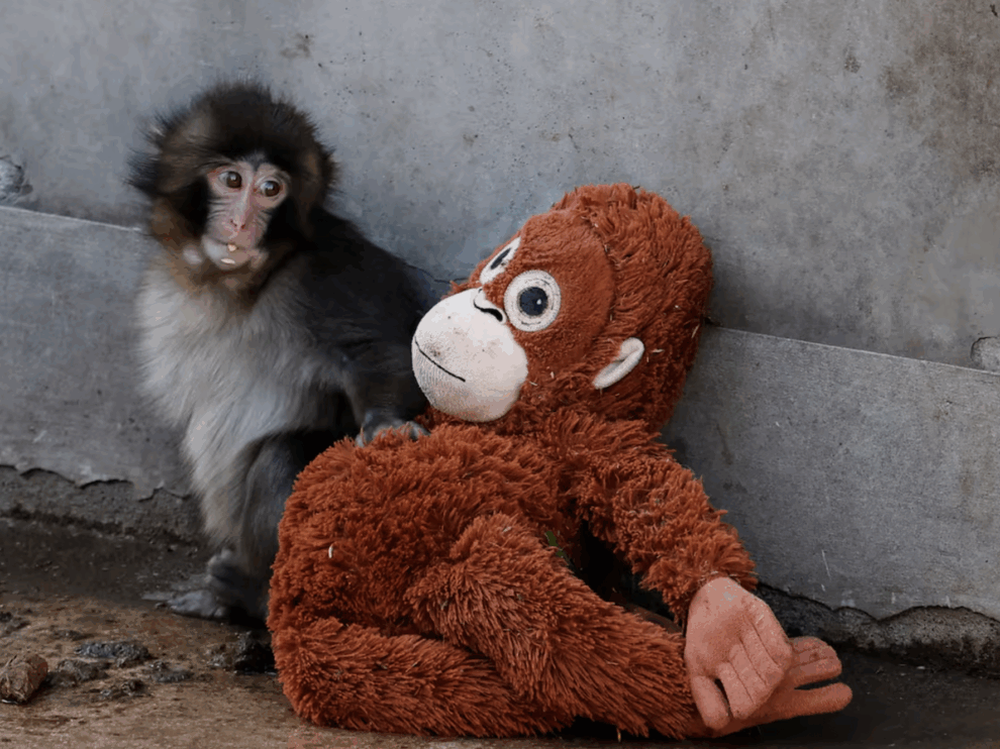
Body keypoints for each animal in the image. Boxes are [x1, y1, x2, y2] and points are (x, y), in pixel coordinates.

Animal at [129, 82, 431, 622]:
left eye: (271, 190)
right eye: (232, 180)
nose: (242, 222)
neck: (237, 286)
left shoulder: (323, 276)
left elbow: (384, 351)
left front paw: (386, 425)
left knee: (281, 457)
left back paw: (251, 595)